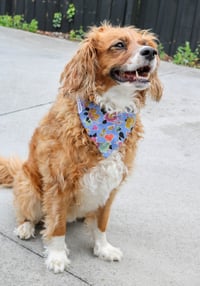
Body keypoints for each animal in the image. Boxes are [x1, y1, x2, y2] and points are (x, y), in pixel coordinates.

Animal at [0, 23, 162, 274]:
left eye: (146, 44)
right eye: (119, 44)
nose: (151, 53)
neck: (110, 112)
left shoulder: (110, 186)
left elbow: (102, 223)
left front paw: (103, 248)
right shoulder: (59, 182)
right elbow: (56, 226)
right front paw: (57, 256)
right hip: (29, 189)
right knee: (28, 214)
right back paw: (25, 227)